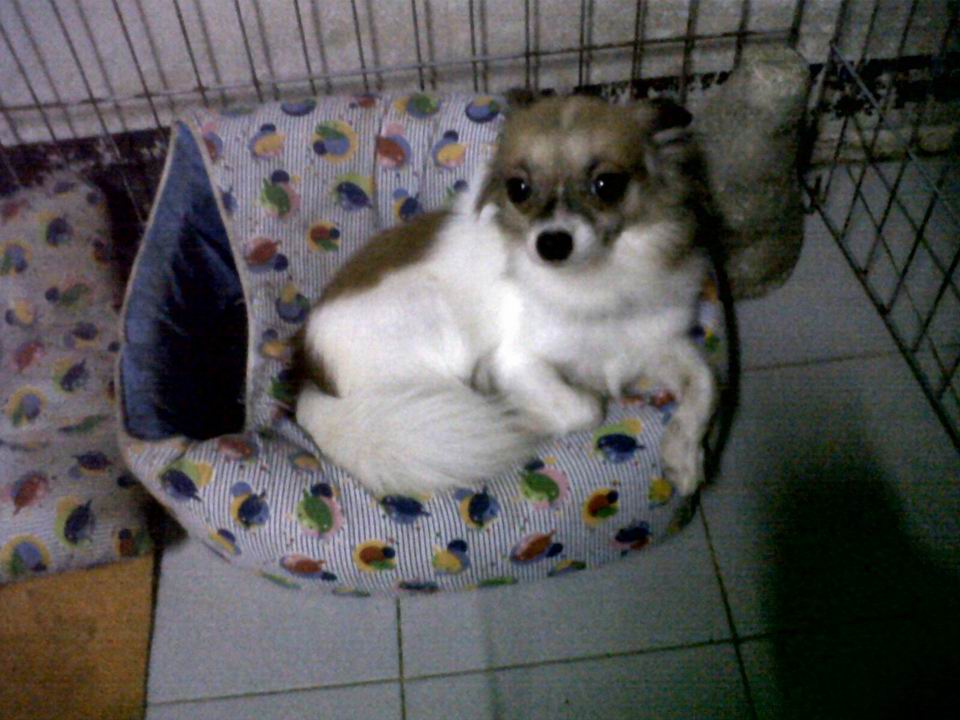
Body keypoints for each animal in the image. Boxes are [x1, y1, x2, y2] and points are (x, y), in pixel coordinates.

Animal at [295, 95, 717, 497]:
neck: (599, 279)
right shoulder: (516, 361)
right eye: (519, 189)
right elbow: (583, 408)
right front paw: (523, 413)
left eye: (606, 185)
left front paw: (683, 456)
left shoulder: (659, 342)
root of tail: (308, 371)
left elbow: (706, 382)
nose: (551, 243)